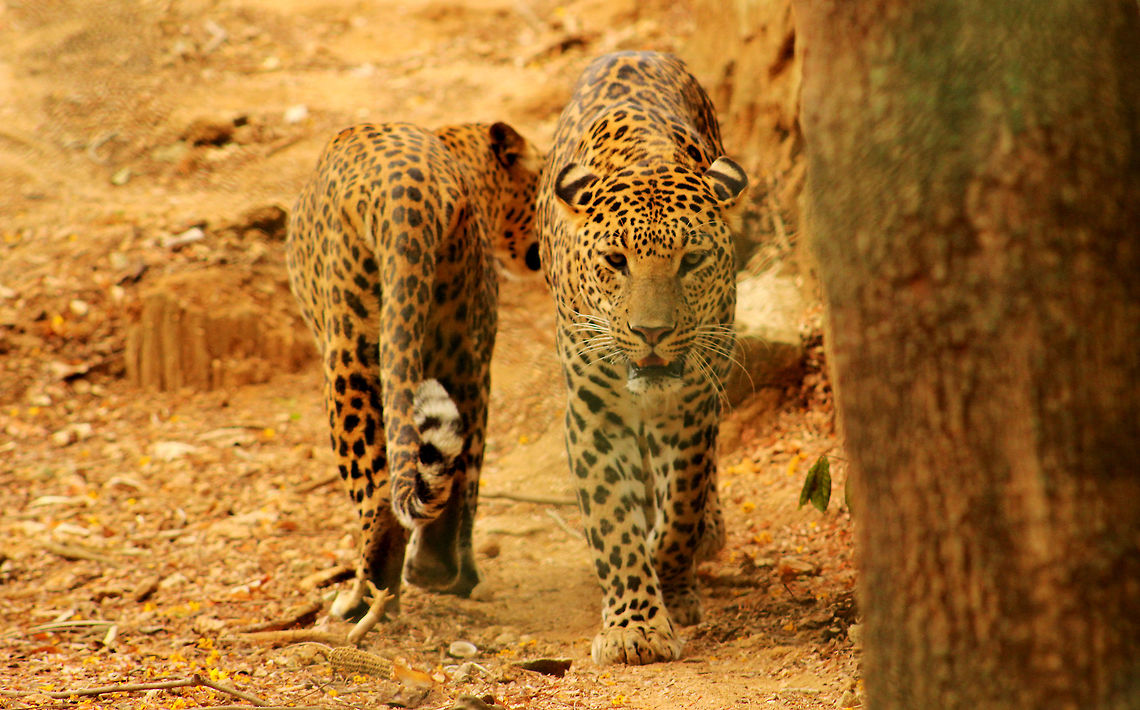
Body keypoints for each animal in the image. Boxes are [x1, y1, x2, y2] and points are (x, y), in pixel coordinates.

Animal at [286, 120, 543, 629]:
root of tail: (411, 193)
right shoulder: (476, 357)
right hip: (459, 353)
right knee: (458, 468)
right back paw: (438, 573)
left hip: (351, 355)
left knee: (381, 498)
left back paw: (361, 604)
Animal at [537, 51, 748, 665]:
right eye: (616, 260)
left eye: (692, 260)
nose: (651, 331)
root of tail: (636, 50)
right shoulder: (594, 414)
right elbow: (612, 521)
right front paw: (635, 628)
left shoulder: (695, 403)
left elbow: (683, 506)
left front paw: (671, 583)